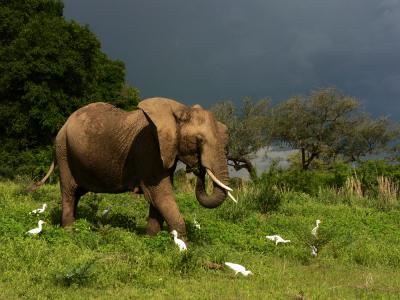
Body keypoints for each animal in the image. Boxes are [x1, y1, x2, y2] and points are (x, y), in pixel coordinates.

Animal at [31, 97, 238, 238]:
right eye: (199, 141)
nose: (198, 169)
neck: (180, 109)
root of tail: (64, 124)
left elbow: (158, 199)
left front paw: (151, 240)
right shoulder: (148, 149)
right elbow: (160, 194)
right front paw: (182, 248)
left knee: (77, 193)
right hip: (63, 150)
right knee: (69, 191)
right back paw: (69, 232)